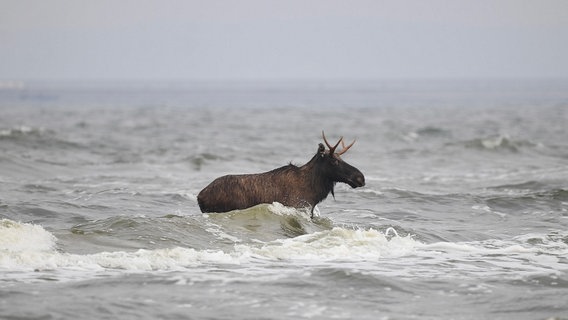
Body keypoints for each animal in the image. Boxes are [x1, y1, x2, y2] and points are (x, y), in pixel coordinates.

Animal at [196, 131, 364, 219]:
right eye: (334, 161)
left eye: (341, 158)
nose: (360, 177)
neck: (313, 189)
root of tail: (199, 196)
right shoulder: (297, 207)